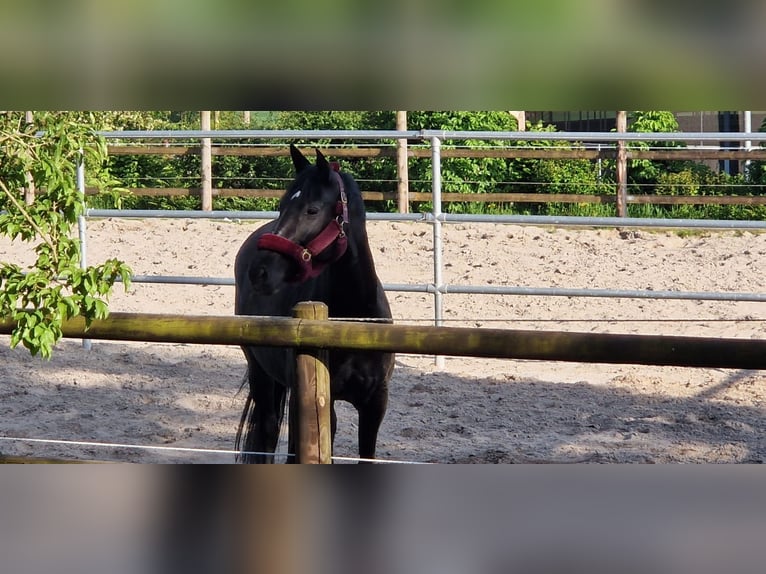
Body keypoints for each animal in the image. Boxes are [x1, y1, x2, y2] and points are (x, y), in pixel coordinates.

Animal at [234, 144, 396, 464]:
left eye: (312, 210)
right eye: (282, 205)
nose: (260, 271)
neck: (354, 321)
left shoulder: (375, 404)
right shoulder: (320, 399)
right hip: (260, 372)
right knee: (269, 432)